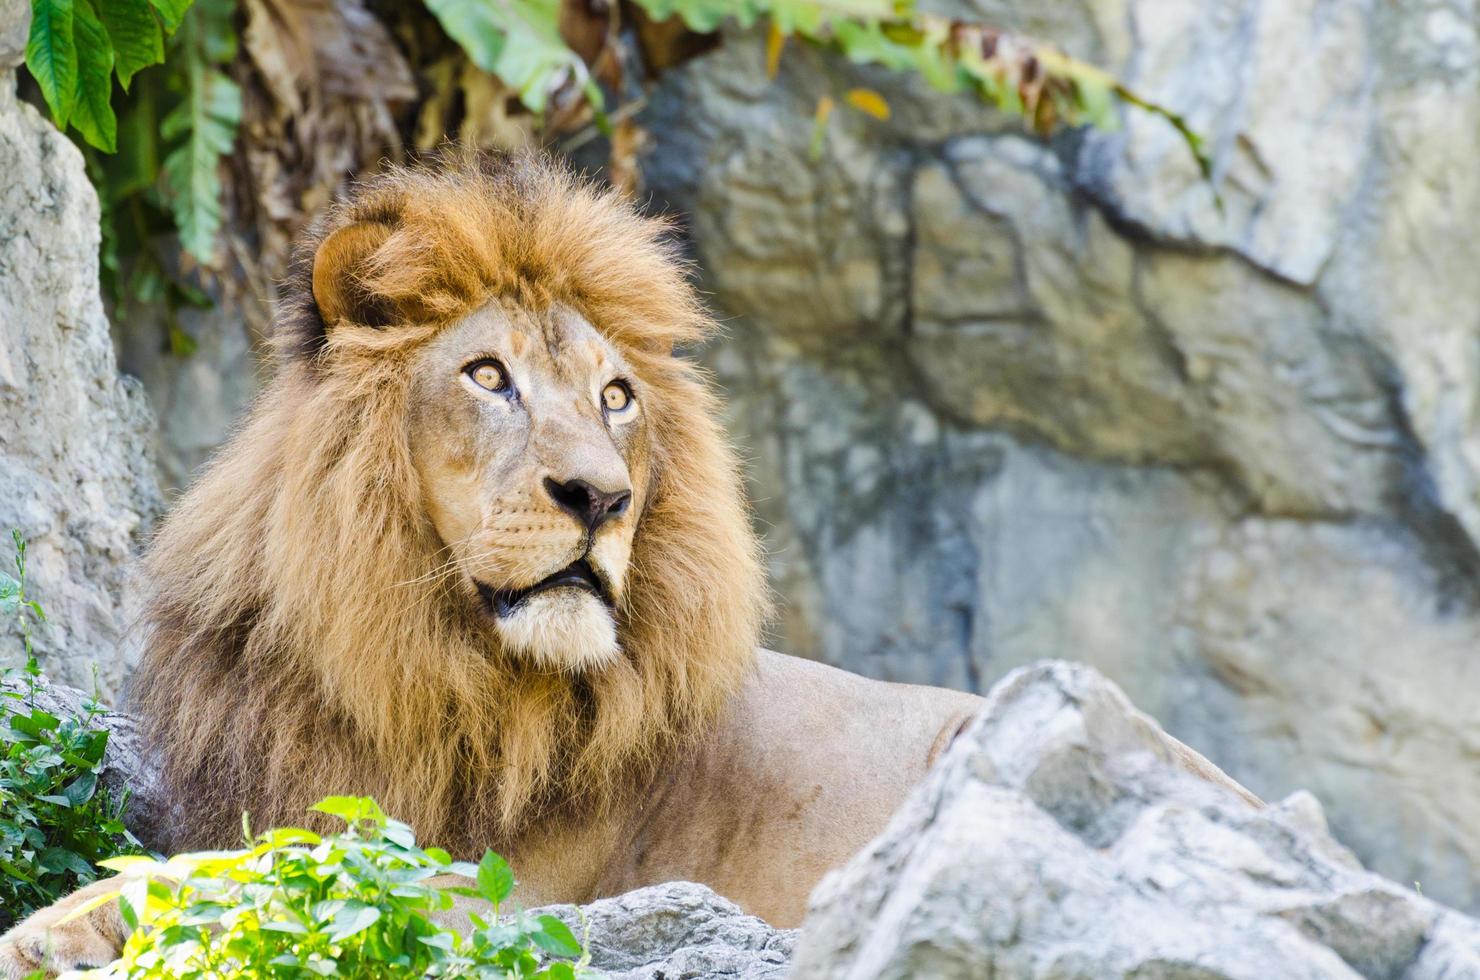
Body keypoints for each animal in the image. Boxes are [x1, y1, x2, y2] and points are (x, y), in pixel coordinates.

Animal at [0, 149, 1249, 977]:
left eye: (614, 396)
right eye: (488, 376)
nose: (600, 496)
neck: (407, 663)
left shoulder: (503, 895)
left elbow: (270, 875)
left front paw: (54, 925)